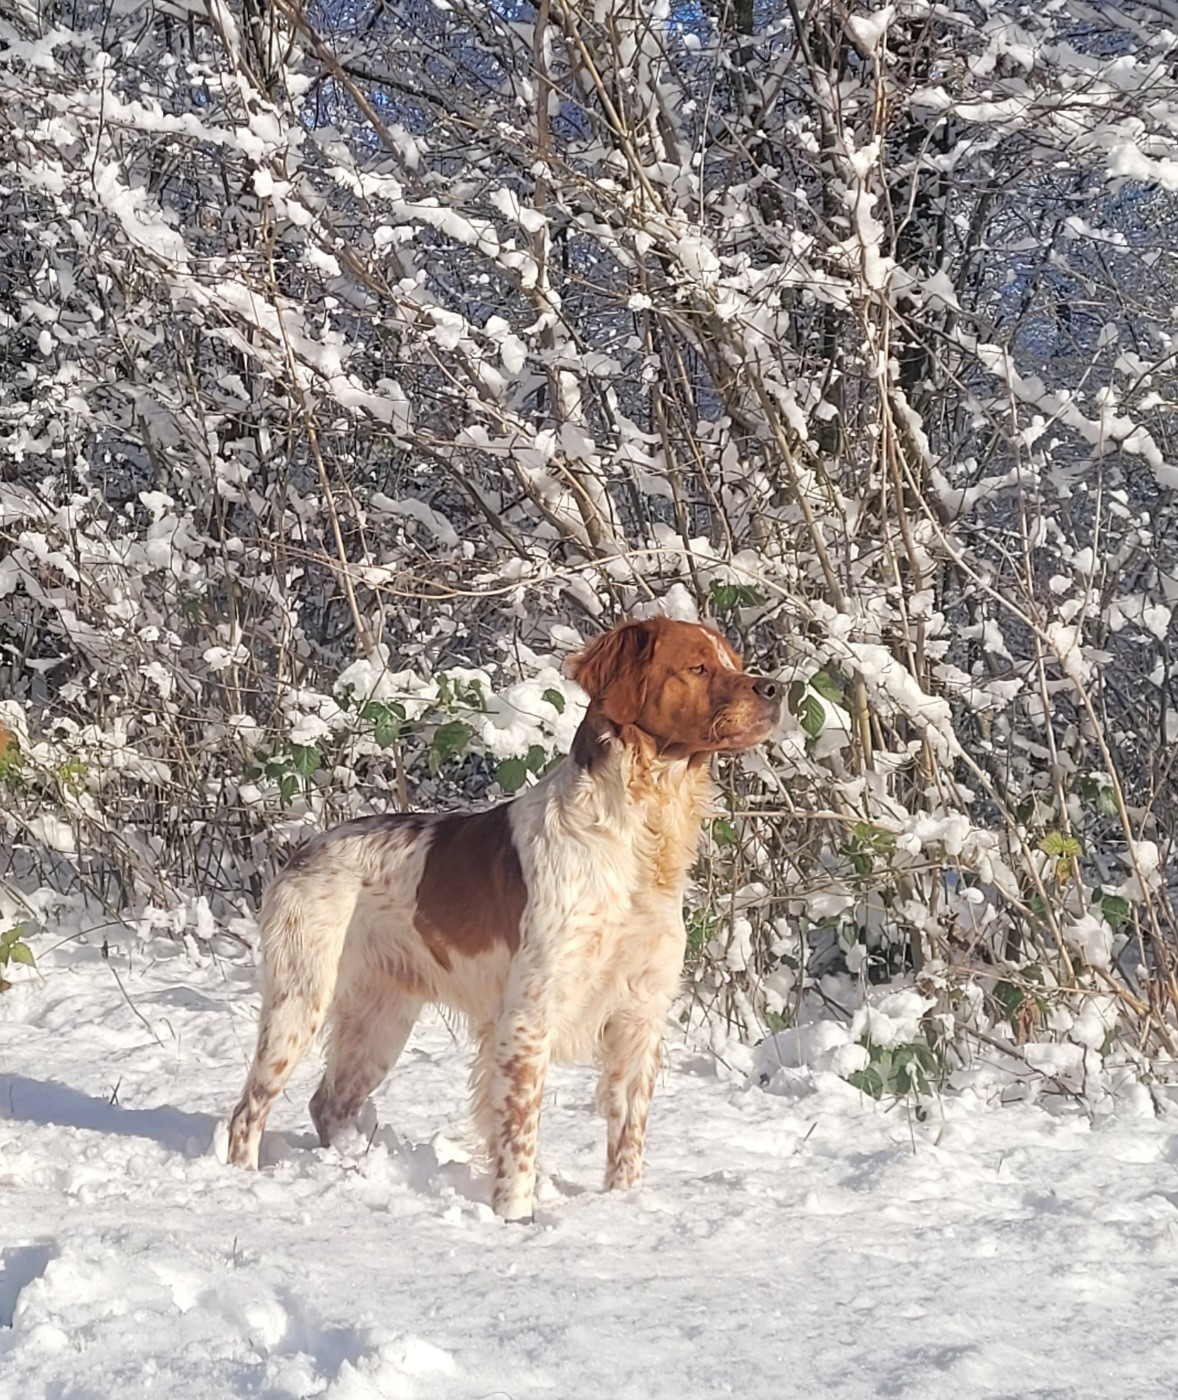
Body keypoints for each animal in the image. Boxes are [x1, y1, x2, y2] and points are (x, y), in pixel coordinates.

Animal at [227, 616, 780, 1220]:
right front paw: (516, 1218)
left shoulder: (640, 1016)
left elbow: (627, 1136)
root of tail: (302, 852)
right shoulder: (527, 1018)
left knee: (327, 1103)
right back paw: (241, 1184)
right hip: (300, 1001)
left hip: (380, 1022)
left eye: (734, 661)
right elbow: (518, 1137)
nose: (775, 689)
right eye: (698, 667)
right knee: (247, 1112)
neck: (636, 838)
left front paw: (623, 1205)